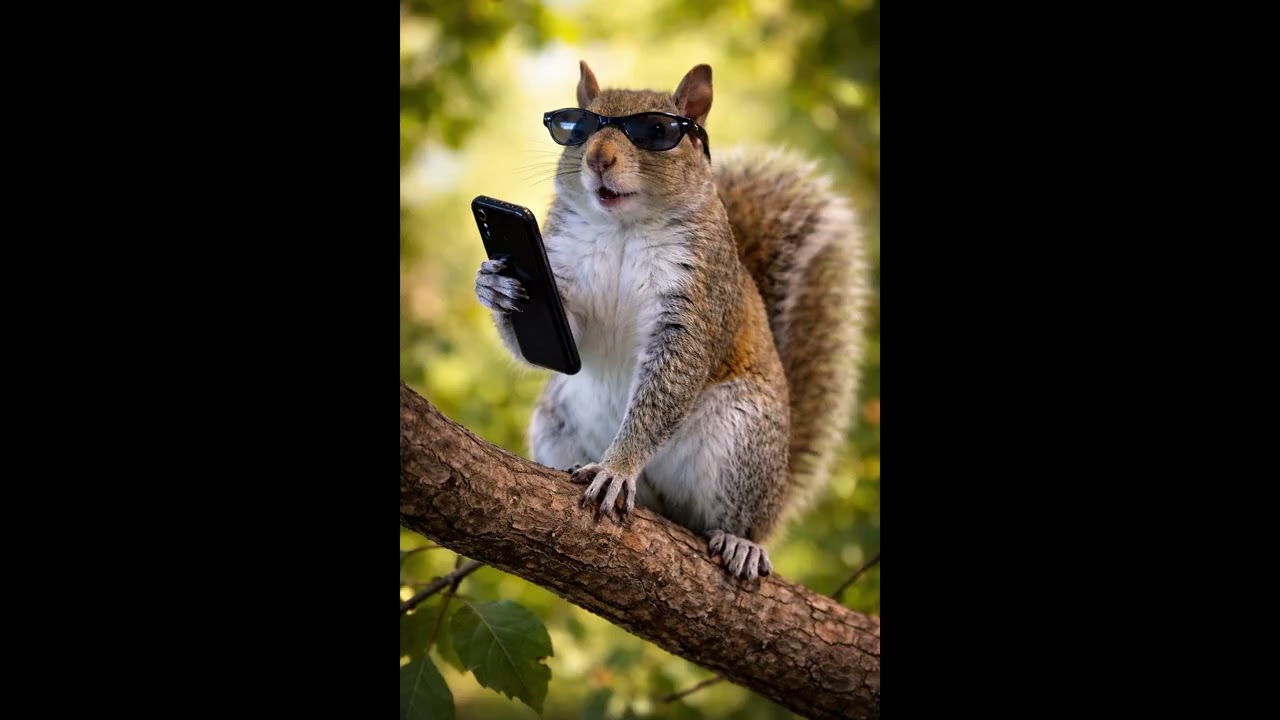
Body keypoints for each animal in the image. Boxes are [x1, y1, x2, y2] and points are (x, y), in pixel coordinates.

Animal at [474, 61, 869, 581]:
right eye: (576, 129)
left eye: (657, 132)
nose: (598, 159)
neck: (623, 228)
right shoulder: (566, 289)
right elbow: (562, 340)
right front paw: (494, 286)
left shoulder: (696, 299)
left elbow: (668, 385)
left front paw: (616, 468)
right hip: (555, 422)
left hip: (743, 439)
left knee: (735, 515)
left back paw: (742, 542)